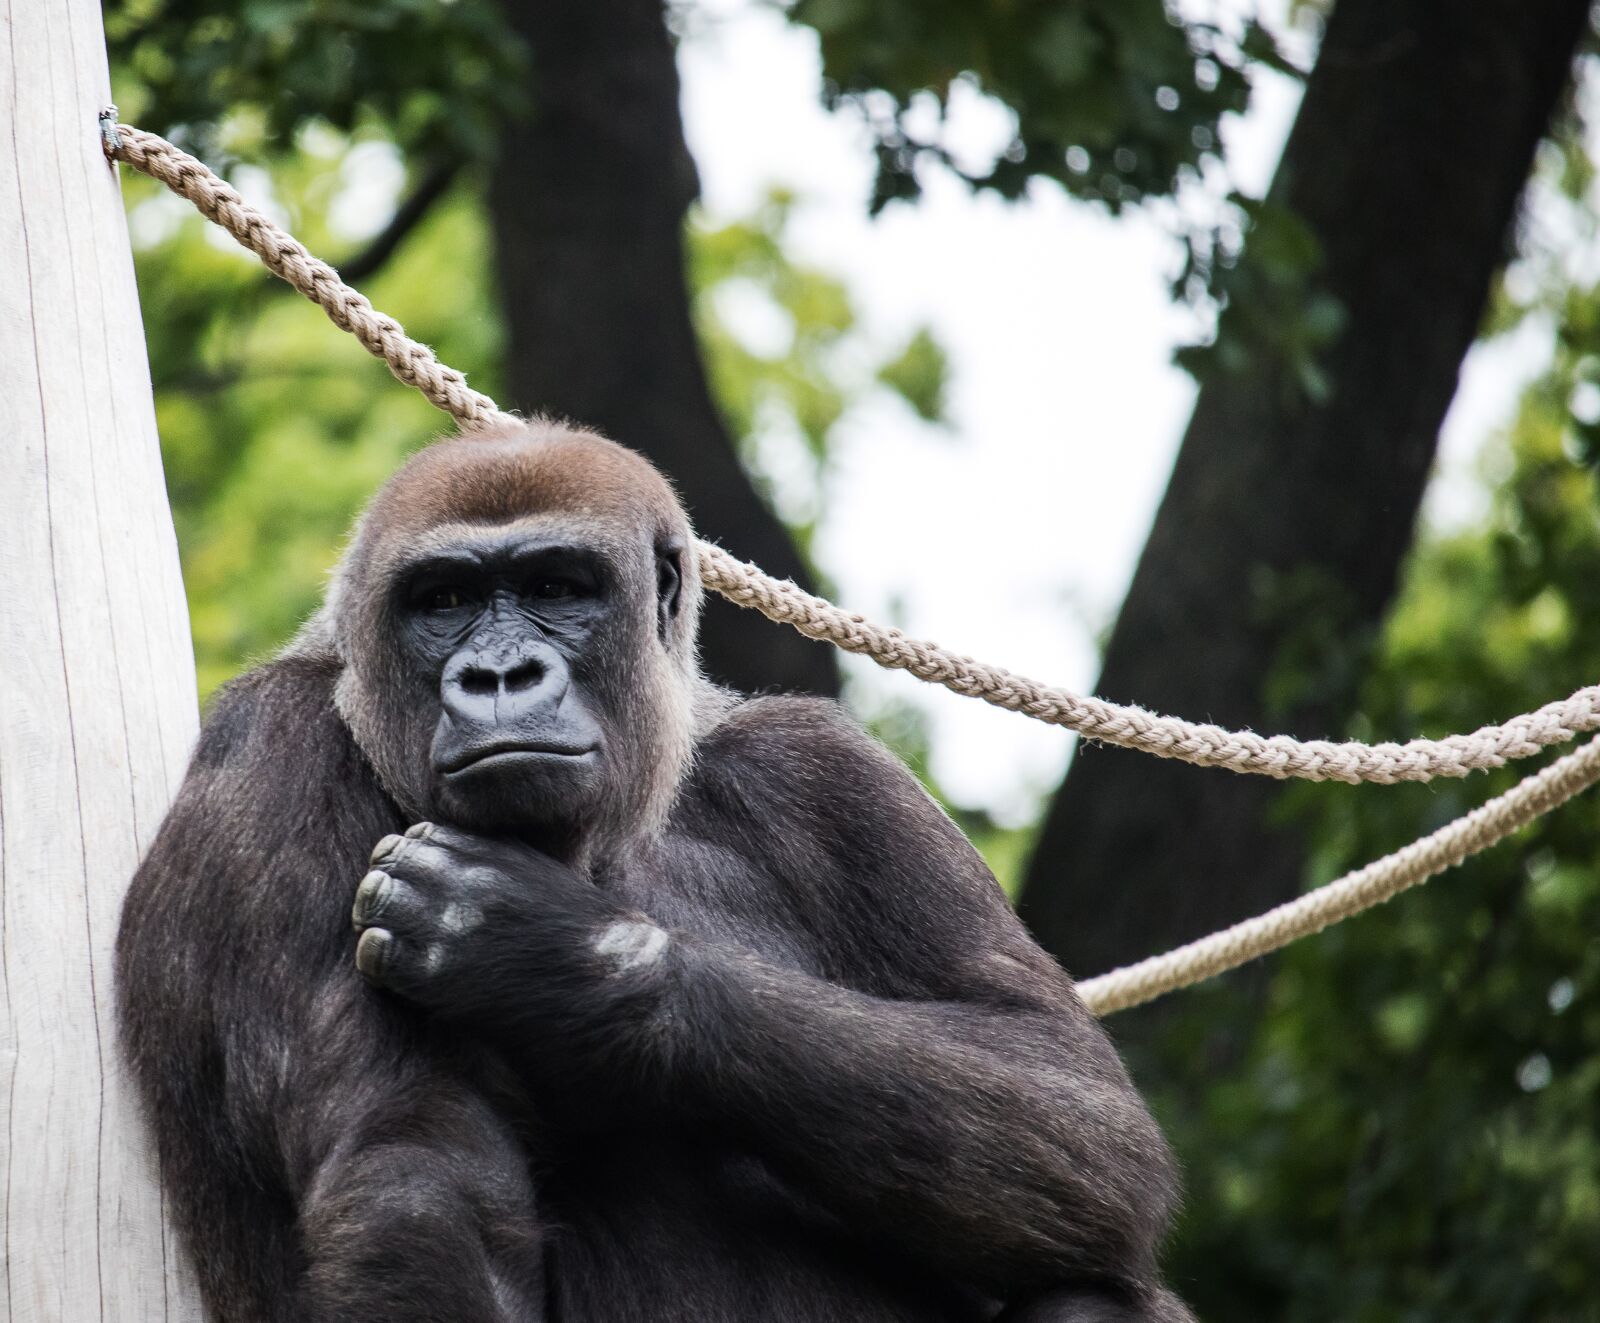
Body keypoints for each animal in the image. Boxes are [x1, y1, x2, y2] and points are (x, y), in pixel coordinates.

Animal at [116, 418, 1194, 1322]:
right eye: (444, 601)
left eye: (557, 588)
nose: (499, 677)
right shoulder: (275, 748)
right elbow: (415, 1172)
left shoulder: (833, 775)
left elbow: (1072, 1098)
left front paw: (565, 956)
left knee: (1084, 1281)